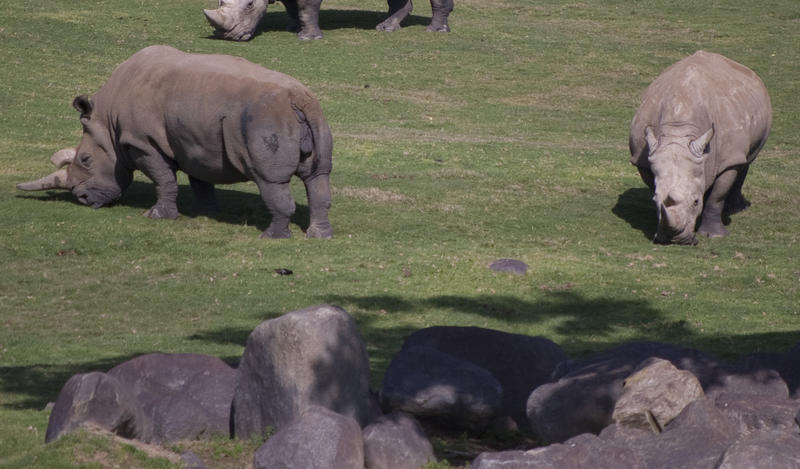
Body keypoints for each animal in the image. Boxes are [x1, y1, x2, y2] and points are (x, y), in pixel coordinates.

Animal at [16, 44, 334, 238]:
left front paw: (156, 216)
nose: (83, 199)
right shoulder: (195, 142)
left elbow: (163, 178)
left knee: (269, 180)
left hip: (264, 120)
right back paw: (318, 236)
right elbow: (201, 179)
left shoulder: (141, 143)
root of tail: (298, 99)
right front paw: (203, 213)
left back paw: (271, 237)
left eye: (85, 160)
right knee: (317, 176)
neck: (106, 119)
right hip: (314, 115)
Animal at [632, 50, 768, 245]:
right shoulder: (643, 158)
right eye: (654, 201)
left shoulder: (728, 158)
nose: (676, 240)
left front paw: (715, 235)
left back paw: (736, 209)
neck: (678, 131)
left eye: (696, 202)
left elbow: (717, 197)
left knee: (746, 160)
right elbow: (656, 187)